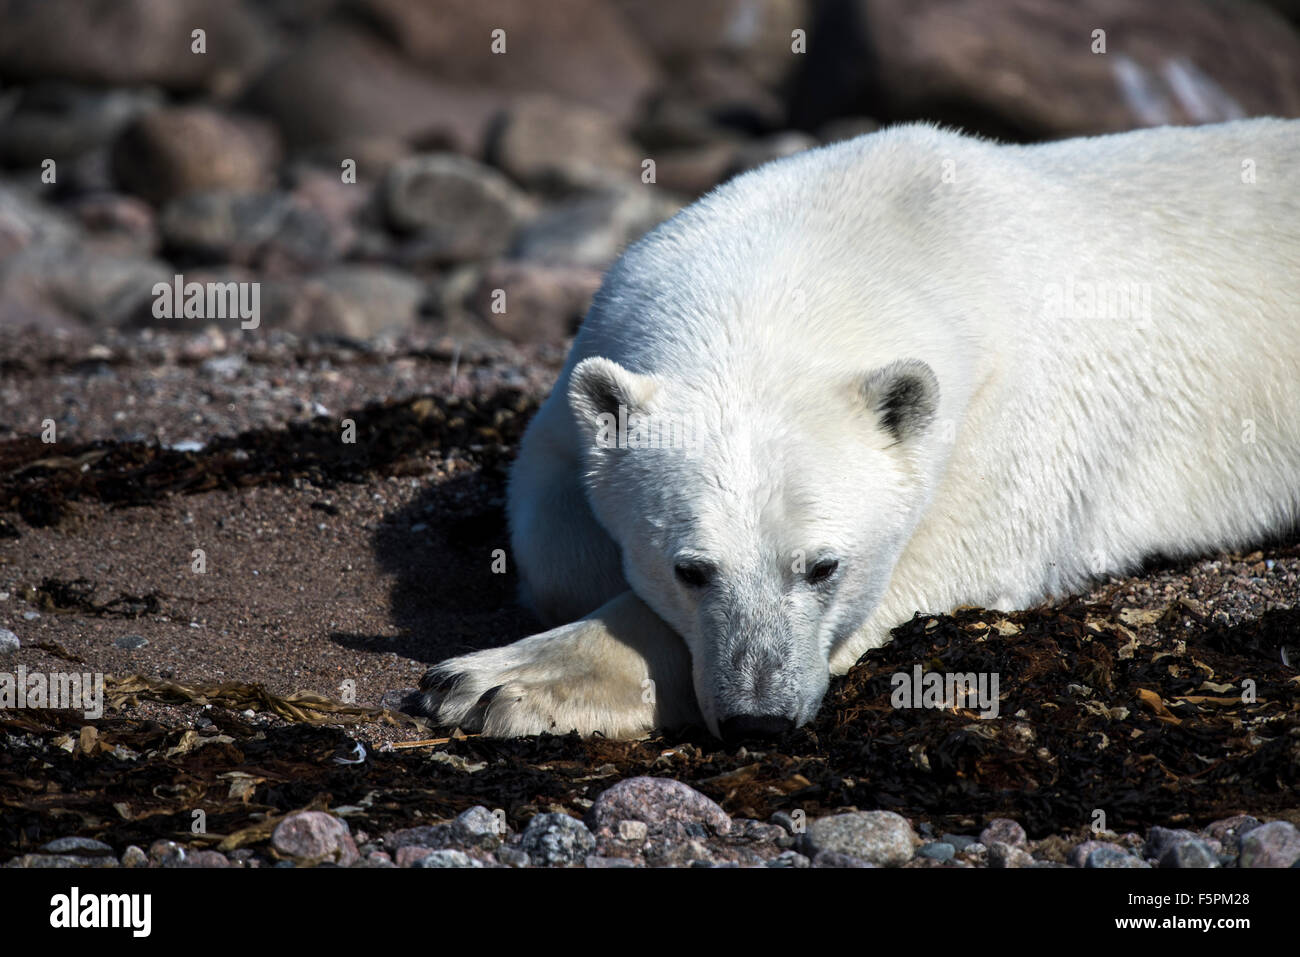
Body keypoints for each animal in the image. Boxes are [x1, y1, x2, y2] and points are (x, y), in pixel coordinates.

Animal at [413, 119, 1300, 743]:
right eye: (691, 568)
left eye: (823, 566)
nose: (759, 718)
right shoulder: (602, 340)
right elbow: (554, 515)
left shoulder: (1011, 416)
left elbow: (943, 556)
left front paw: (499, 682)